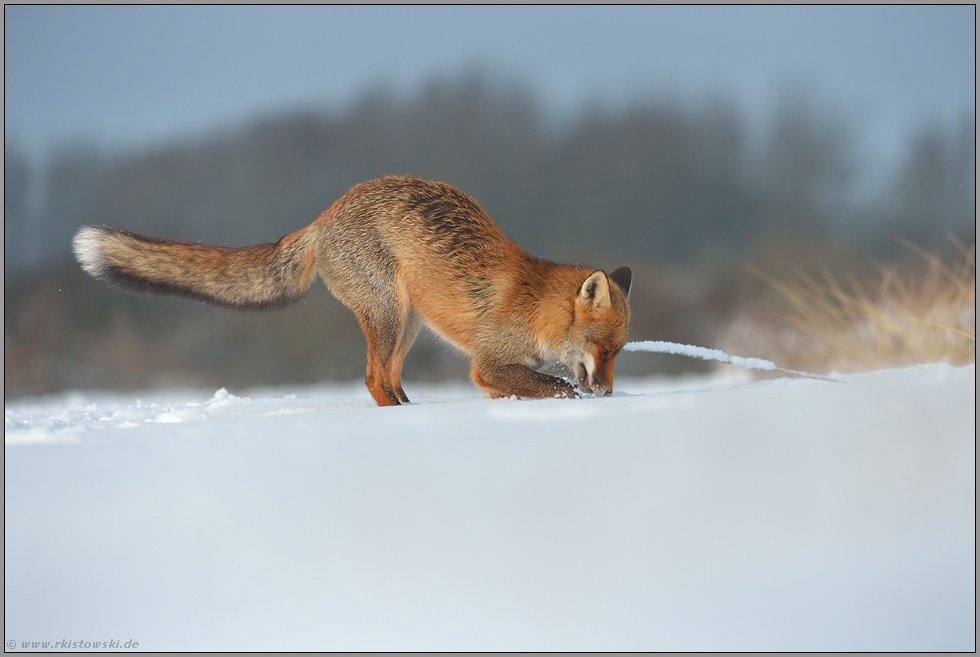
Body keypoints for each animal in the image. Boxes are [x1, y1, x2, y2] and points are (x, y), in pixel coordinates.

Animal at [72, 176, 631, 406]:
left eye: (618, 353)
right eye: (604, 350)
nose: (608, 393)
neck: (538, 310)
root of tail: (323, 217)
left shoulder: (498, 373)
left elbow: (535, 384)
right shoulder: (487, 363)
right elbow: (553, 385)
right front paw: (578, 401)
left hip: (407, 323)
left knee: (388, 377)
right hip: (387, 312)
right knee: (371, 380)